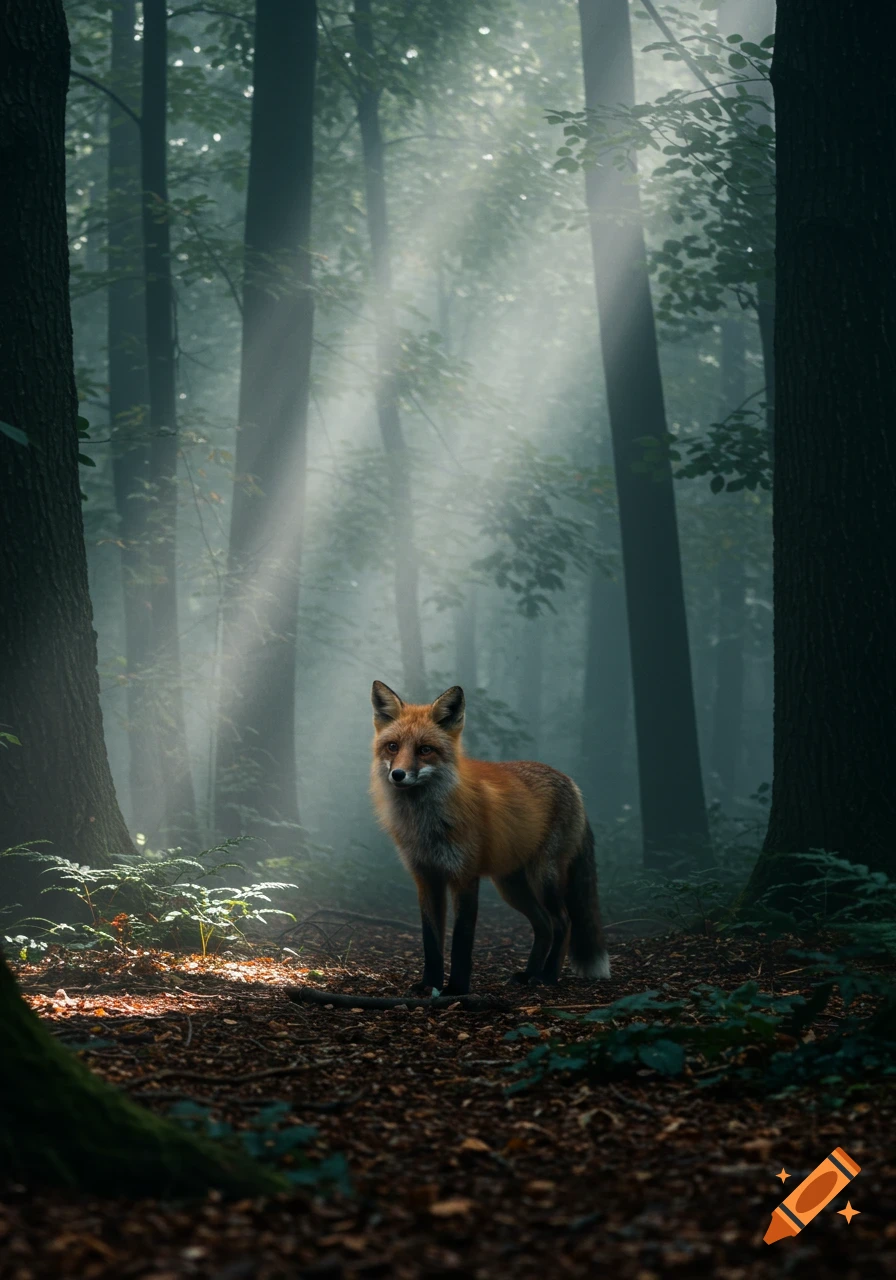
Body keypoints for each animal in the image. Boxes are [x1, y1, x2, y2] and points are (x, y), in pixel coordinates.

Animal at [370, 680, 610, 996]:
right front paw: (429, 985)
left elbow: (461, 941)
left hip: (543, 877)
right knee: (544, 925)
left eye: (425, 750)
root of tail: (572, 784)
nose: (398, 774)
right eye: (393, 747)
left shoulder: (465, 876)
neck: (427, 825)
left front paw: (457, 989)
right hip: (511, 885)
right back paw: (528, 974)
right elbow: (431, 943)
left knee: (563, 922)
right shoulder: (426, 878)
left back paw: (547, 976)